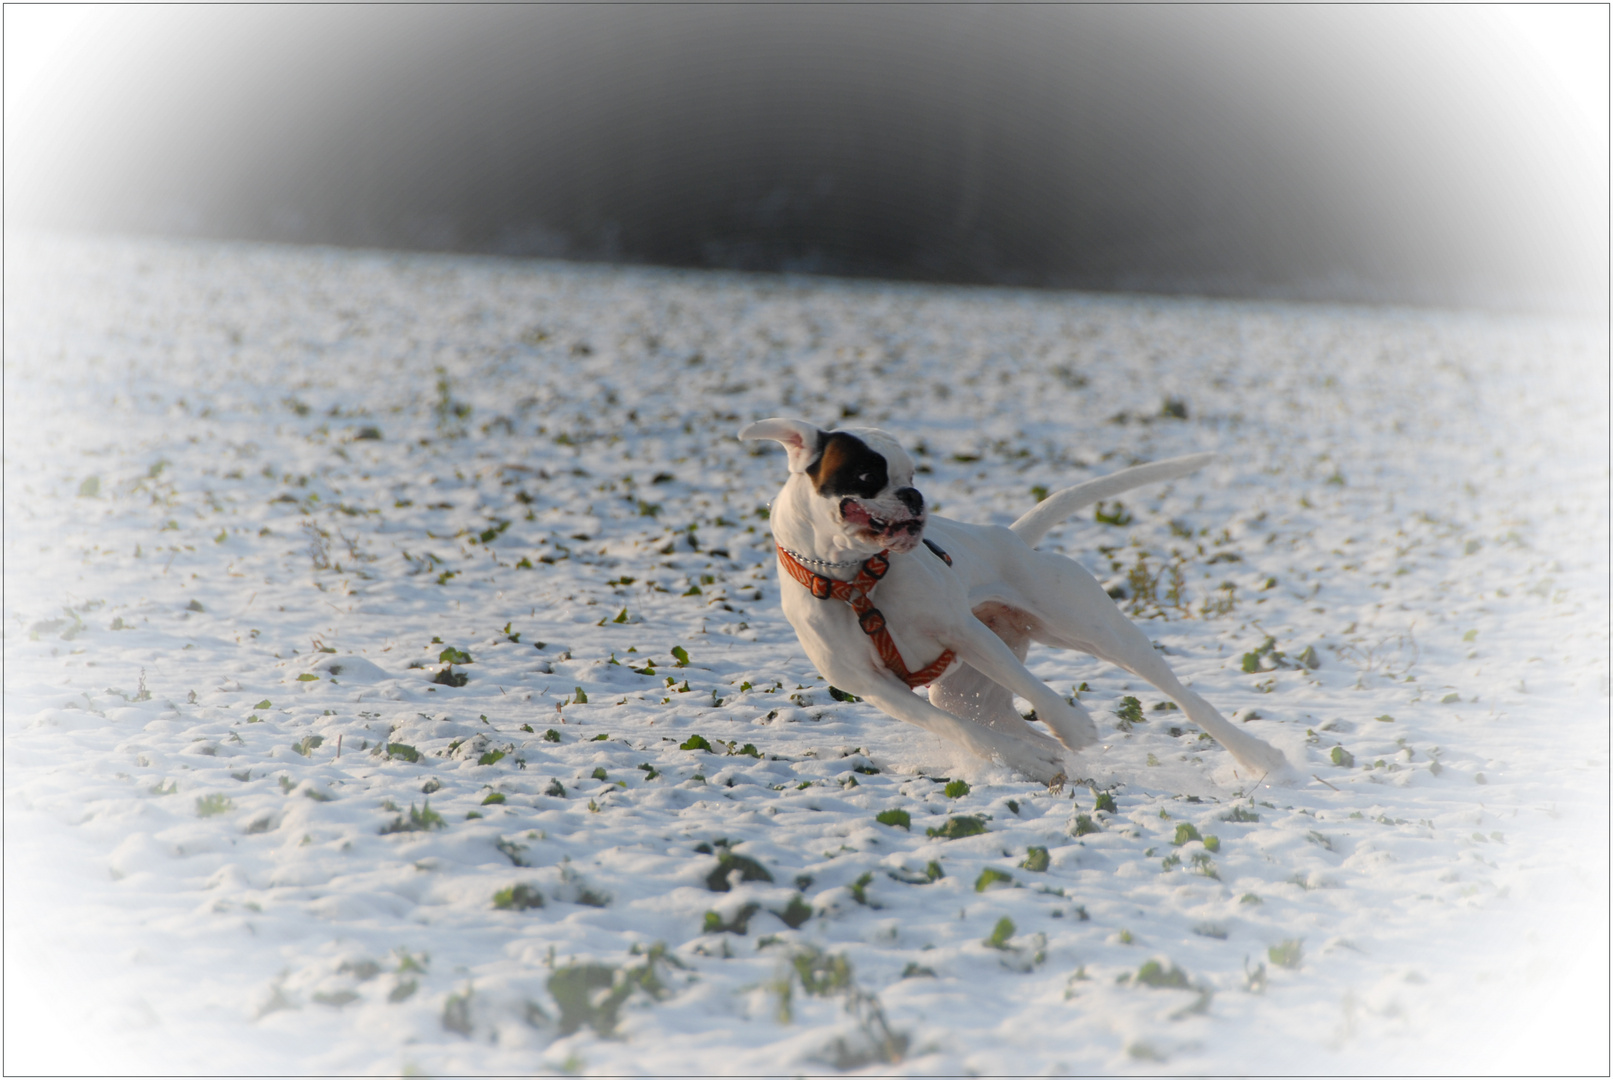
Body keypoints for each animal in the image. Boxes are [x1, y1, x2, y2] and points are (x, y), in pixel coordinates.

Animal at [738, 422, 1283, 786]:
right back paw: (1047, 759)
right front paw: (1027, 761)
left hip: (1098, 632)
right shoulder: (874, 687)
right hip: (965, 694)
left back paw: (1260, 756)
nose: (914, 495)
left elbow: (1034, 688)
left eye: (912, 472)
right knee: (1002, 725)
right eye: (869, 474)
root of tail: (1015, 537)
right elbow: (957, 730)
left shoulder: (965, 633)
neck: (854, 581)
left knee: (1186, 699)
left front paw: (1073, 725)